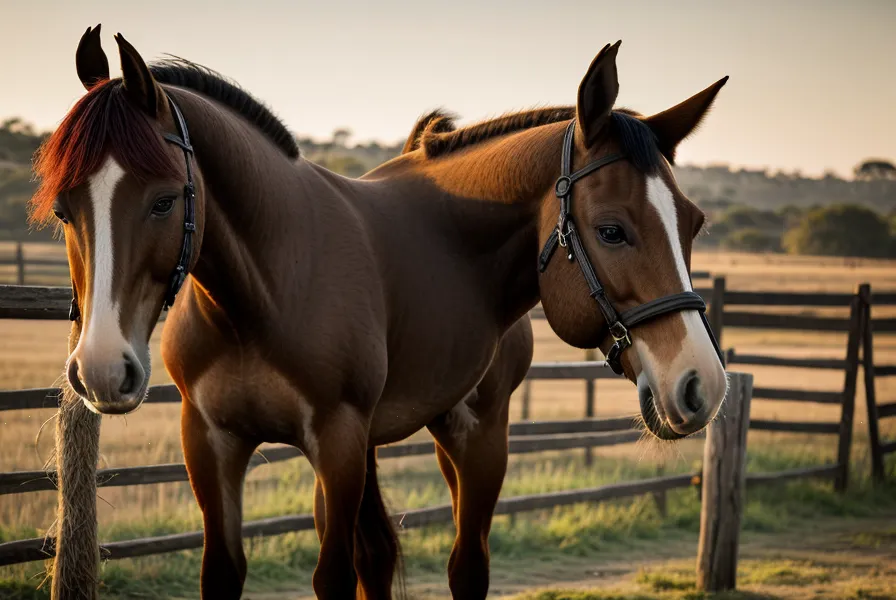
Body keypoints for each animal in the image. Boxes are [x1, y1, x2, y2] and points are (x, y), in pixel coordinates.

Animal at [31, 24, 728, 599]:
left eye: (164, 200)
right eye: (64, 208)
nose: (701, 384)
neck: (266, 289)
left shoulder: (338, 441)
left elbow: (337, 577)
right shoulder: (211, 440)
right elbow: (227, 572)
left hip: (475, 434)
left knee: (466, 568)